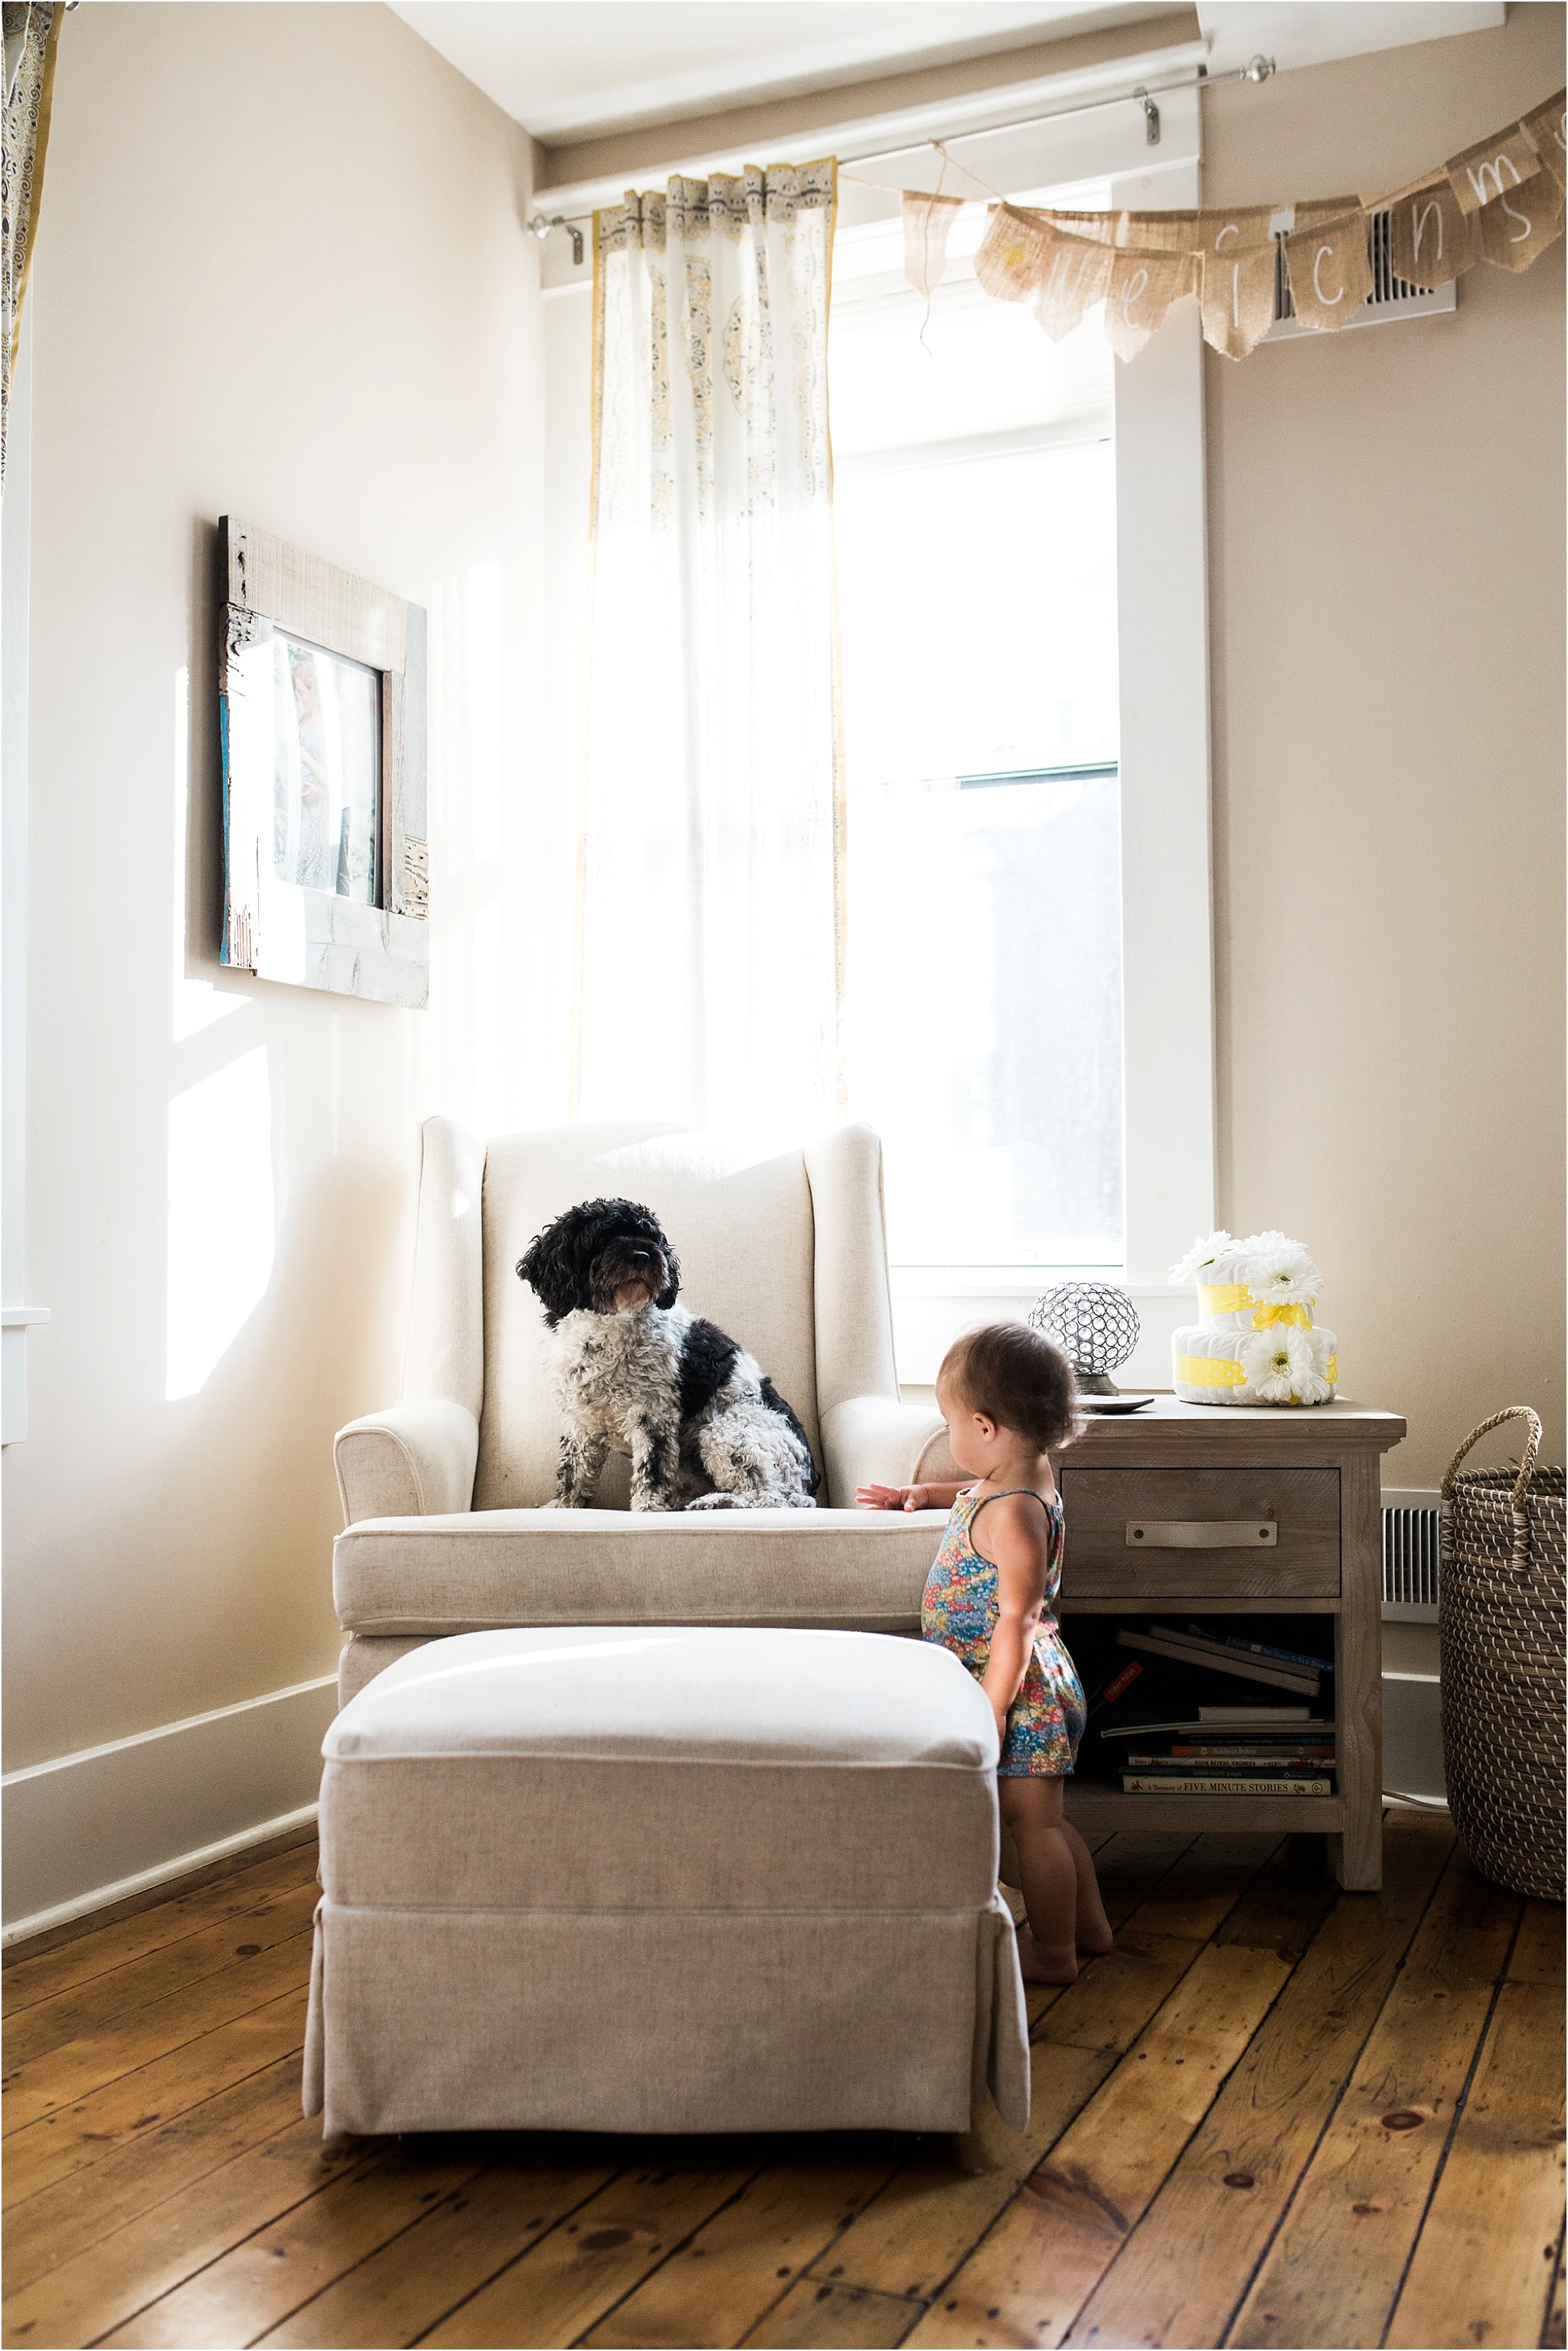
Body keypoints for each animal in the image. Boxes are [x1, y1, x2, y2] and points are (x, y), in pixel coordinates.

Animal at [514, 1203, 822, 1514]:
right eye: (600, 1239)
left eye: (651, 1238)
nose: (642, 1256)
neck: (607, 1328)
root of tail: (807, 1475)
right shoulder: (580, 1420)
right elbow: (572, 1470)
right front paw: (563, 1506)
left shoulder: (654, 1414)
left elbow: (653, 1468)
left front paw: (648, 1508)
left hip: (725, 1432)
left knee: (776, 1498)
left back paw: (716, 1501)